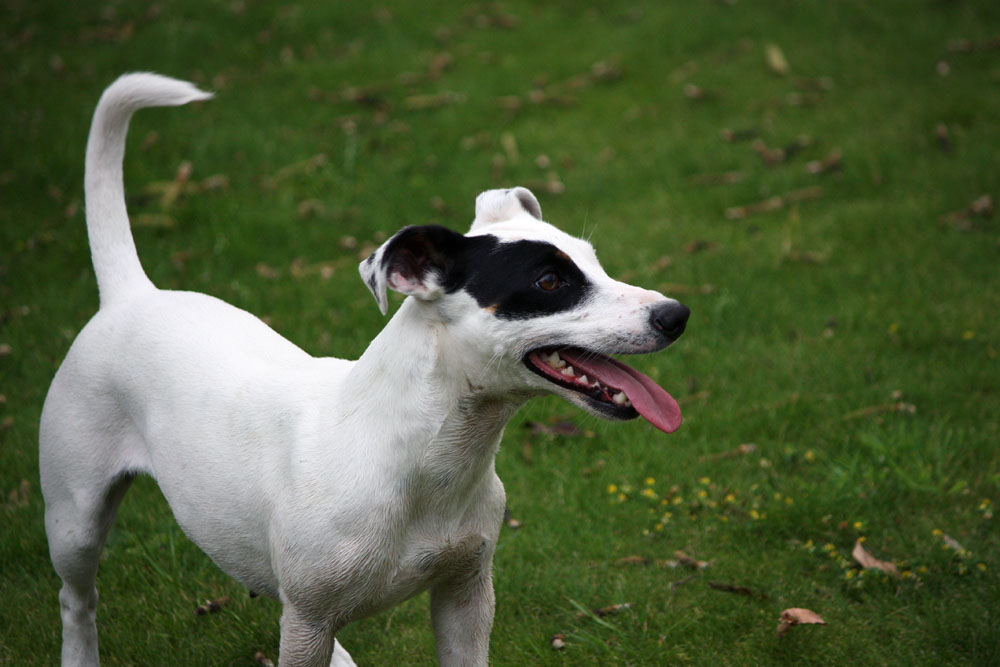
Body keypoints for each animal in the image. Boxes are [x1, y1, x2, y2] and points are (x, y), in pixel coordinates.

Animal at [43, 74, 692, 667]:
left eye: (595, 264)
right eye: (550, 281)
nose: (676, 315)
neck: (419, 454)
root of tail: (131, 293)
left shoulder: (465, 597)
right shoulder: (308, 620)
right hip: (75, 520)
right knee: (77, 600)